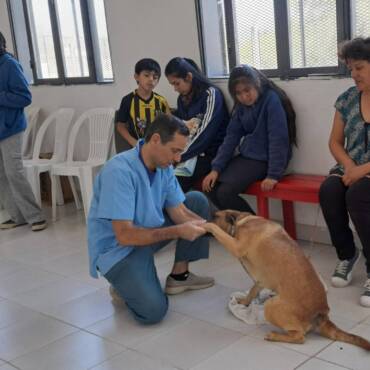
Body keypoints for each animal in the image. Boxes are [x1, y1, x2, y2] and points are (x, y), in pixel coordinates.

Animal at [202, 210, 370, 352]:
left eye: (215, 216)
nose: (206, 217)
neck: (241, 221)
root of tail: (322, 314)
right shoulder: (260, 280)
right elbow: (252, 292)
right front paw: (244, 303)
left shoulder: (236, 246)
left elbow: (216, 229)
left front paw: (205, 224)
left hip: (270, 306)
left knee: (300, 337)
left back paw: (275, 336)